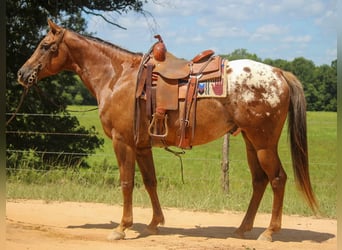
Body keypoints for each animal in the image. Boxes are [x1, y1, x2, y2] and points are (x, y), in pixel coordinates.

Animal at [16, 18, 318, 241]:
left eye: (45, 45)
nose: (22, 74)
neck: (118, 76)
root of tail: (279, 73)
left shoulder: (122, 142)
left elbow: (127, 183)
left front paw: (122, 228)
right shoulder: (141, 145)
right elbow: (150, 181)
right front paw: (154, 223)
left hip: (264, 142)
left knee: (277, 179)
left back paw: (269, 232)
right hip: (250, 142)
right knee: (259, 181)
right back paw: (242, 228)